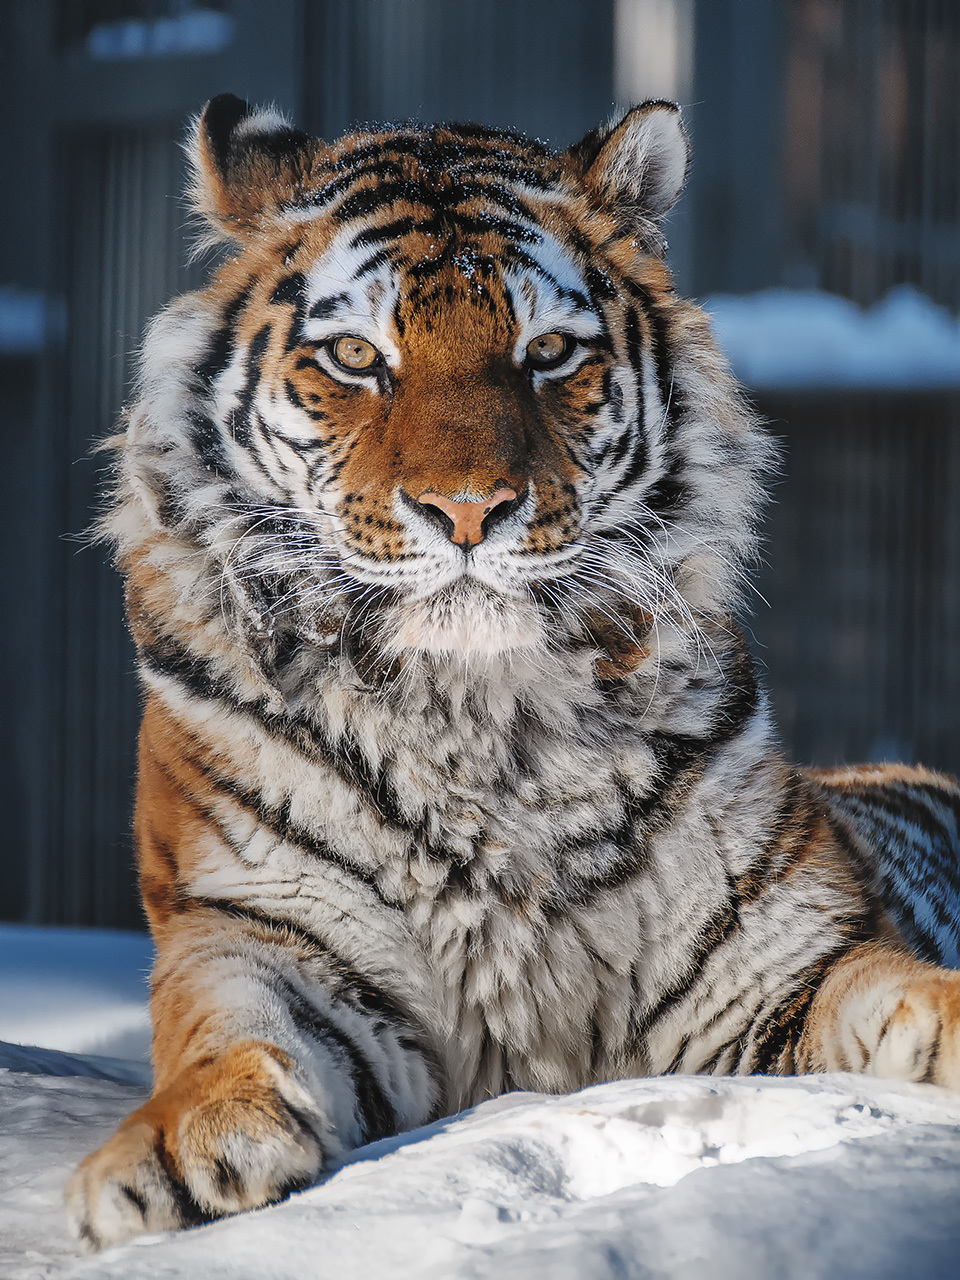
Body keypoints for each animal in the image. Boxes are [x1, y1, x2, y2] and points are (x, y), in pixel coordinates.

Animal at [65, 92, 960, 1249]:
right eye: (354, 354)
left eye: (549, 353)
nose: (468, 510)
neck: (485, 715)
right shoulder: (260, 930)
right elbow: (227, 1036)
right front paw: (169, 1156)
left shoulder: (781, 966)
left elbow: (909, 994)